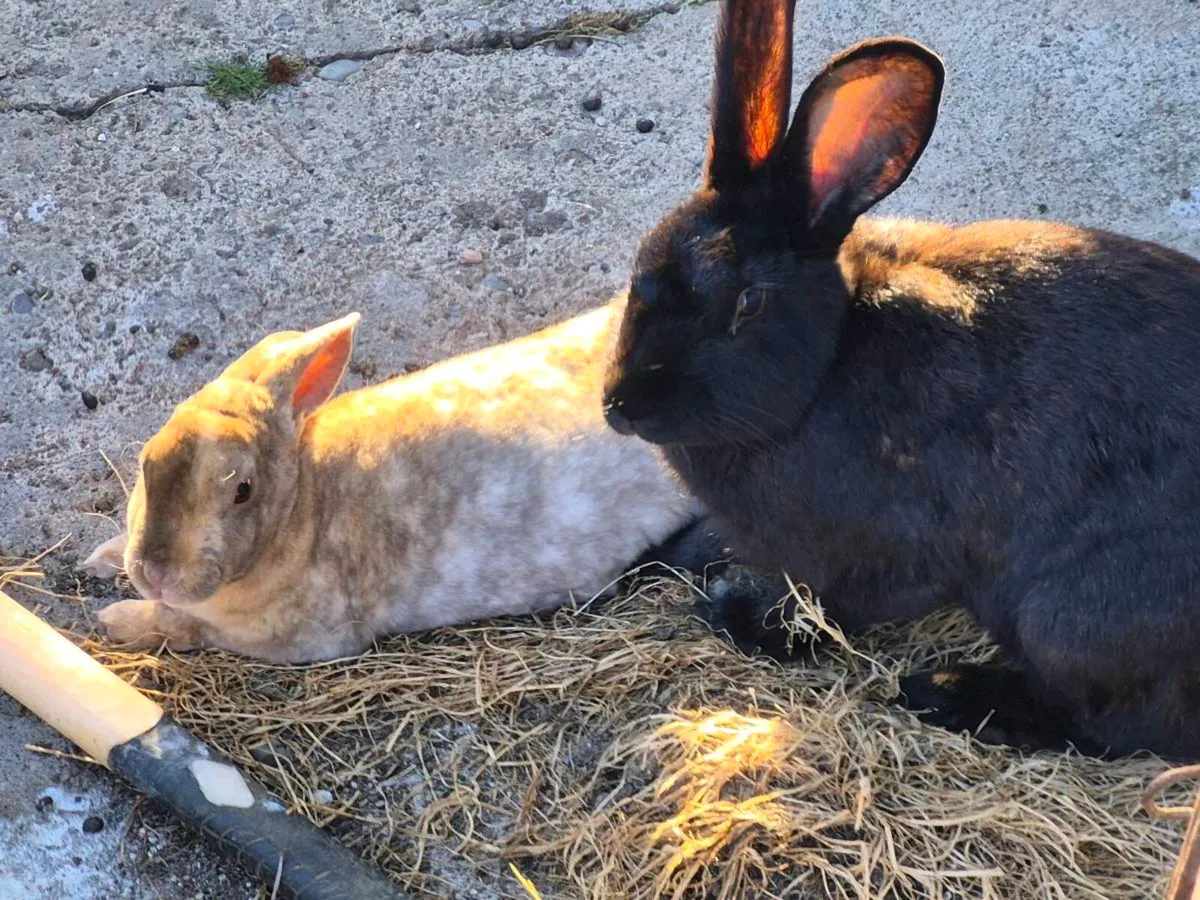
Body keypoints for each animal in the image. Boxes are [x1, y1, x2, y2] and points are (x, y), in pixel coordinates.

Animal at [84, 302, 725, 664]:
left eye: (242, 491)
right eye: (146, 461)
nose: (157, 571)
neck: (305, 503)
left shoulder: (295, 638)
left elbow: (184, 625)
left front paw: (116, 621)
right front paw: (102, 559)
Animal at [599, 0, 1200, 758]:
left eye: (748, 303)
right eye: (640, 266)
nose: (620, 406)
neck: (825, 366)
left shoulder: (881, 561)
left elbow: (833, 608)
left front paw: (746, 621)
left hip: (1070, 616)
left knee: (1113, 721)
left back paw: (946, 693)